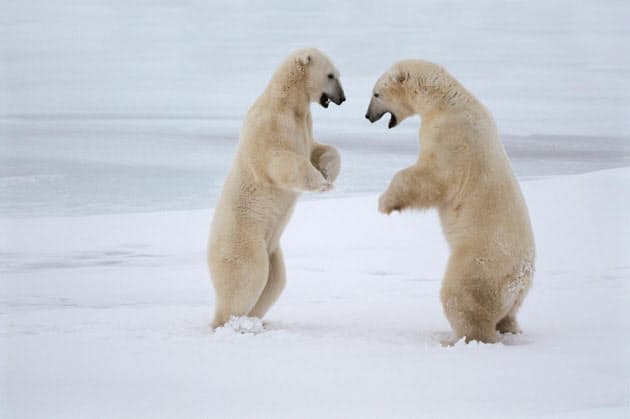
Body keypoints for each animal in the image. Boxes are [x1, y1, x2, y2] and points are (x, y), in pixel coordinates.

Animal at [207, 48, 346, 328]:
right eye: (330, 75)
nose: (342, 98)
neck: (287, 102)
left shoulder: (305, 125)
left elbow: (318, 149)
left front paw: (328, 173)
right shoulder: (270, 125)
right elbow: (279, 160)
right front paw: (321, 184)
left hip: (272, 248)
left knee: (275, 281)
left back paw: (255, 321)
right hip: (243, 239)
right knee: (248, 276)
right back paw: (230, 323)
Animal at [366, 60, 540, 346]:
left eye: (376, 94)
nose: (367, 116)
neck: (447, 101)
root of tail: (521, 277)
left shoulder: (451, 137)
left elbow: (432, 178)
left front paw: (385, 203)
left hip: (480, 263)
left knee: (461, 298)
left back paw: (455, 339)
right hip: (516, 292)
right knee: (510, 314)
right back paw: (510, 329)